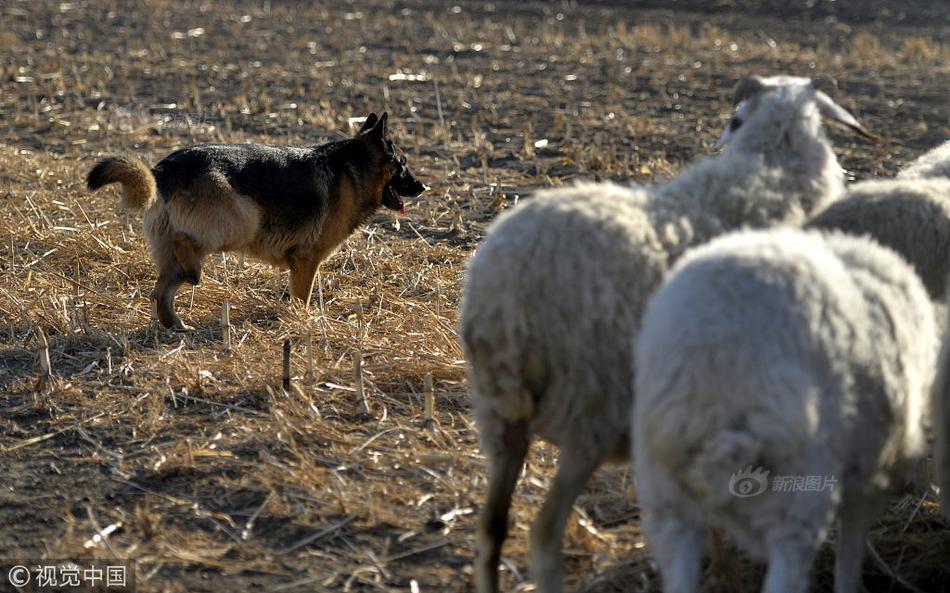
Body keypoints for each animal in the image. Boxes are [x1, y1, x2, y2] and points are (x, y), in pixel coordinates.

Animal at [88, 112, 424, 328]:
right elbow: (302, 296)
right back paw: (193, 271)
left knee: (161, 291)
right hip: (242, 220)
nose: (422, 187)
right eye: (403, 164)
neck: (356, 169)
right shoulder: (306, 259)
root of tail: (163, 169)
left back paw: (176, 324)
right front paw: (302, 322)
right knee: (185, 242)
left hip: (178, 247)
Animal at [458, 76, 872, 592]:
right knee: (544, 528)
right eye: (734, 119)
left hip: (500, 414)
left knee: (492, 526)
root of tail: (505, 288)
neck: (771, 168)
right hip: (591, 406)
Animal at [632, 228, 936, 592]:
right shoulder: (870, 468)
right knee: (788, 571)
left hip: (666, 494)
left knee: (679, 572)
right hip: (795, 488)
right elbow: (851, 547)